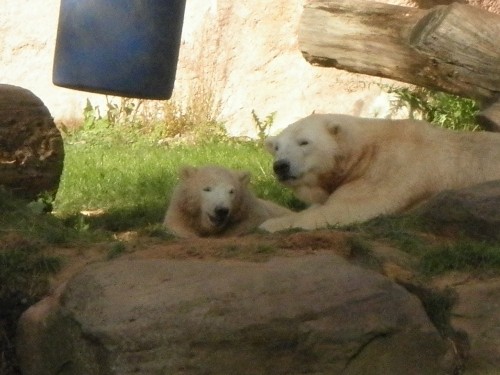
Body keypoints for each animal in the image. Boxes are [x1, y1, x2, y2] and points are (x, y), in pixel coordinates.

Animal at [260, 113, 500, 234]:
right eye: (277, 147)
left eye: (304, 142)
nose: (281, 166)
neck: (366, 149)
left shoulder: (388, 170)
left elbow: (344, 209)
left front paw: (269, 225)